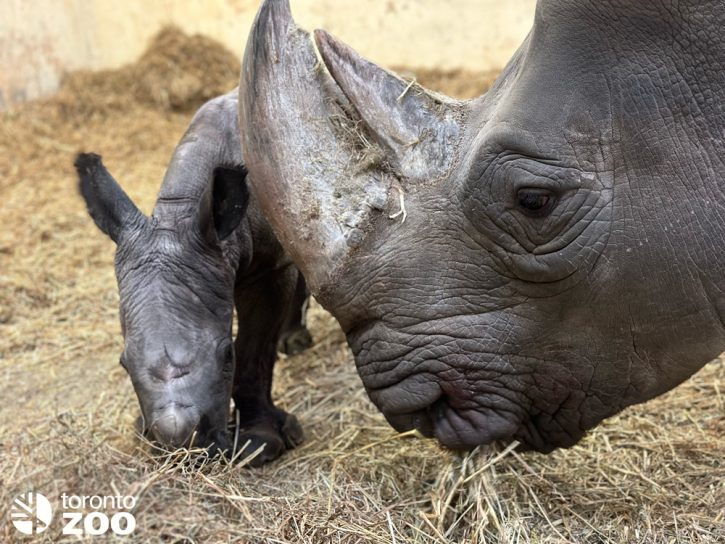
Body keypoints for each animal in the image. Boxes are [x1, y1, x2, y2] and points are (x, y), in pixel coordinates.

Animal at [76, 89, 312, 464]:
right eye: (123, 363)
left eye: (226, 356)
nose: (182, 445)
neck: (179, 212)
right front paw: (143, 432)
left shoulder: (266, 269)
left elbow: (254, 350)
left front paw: (259, 445)